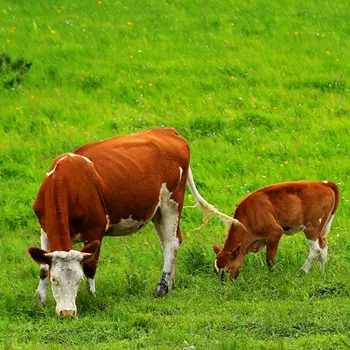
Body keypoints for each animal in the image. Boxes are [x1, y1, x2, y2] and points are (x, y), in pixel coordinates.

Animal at [27, 127, 238, 316]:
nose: (67, 313)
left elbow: (90, 267)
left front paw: (92, 297)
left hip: (172, 201)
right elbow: (43, 267)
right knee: (169, 241)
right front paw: (40, 301)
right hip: (157, 210)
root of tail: (168, 131)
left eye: (78, 280)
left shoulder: (95, 231)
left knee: (172, 242)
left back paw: (161, 288)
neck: (66, 182)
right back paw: (170, 283)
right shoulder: (45, 230)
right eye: (55, 280)